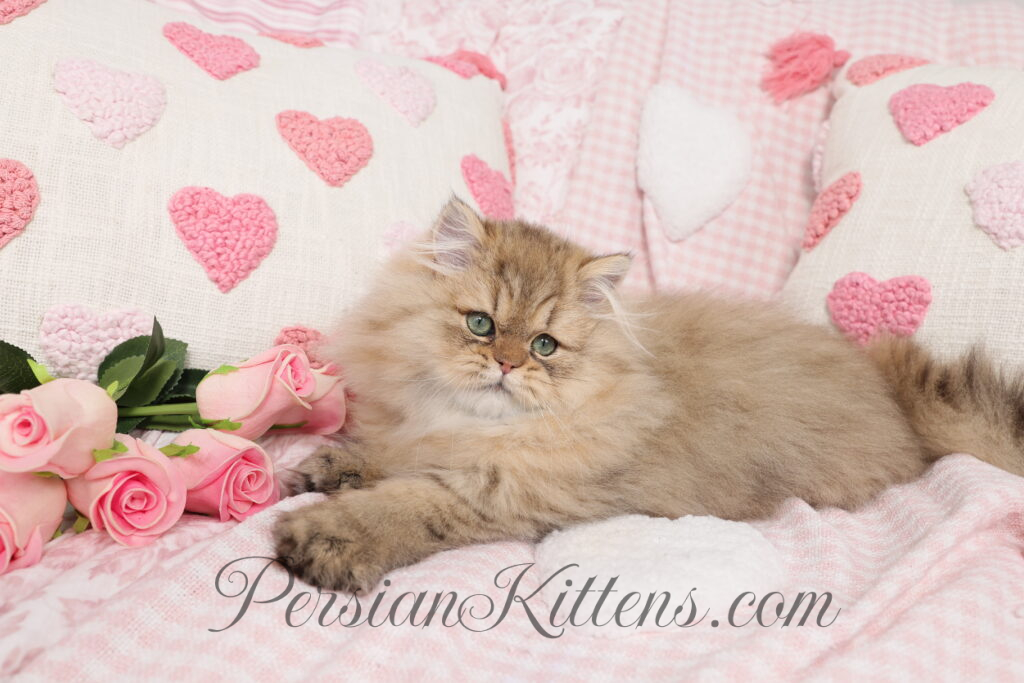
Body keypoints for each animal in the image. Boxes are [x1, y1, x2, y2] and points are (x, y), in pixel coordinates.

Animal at [274, 196, 1024, 593]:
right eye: (481, 325)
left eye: (544, 345)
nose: (508, 364)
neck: (474, 425)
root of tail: (895, 396)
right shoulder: (421, 435)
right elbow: (380, 454)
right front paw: (326, 466)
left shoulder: (501, 490)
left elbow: (404, 507)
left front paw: (325, 538)